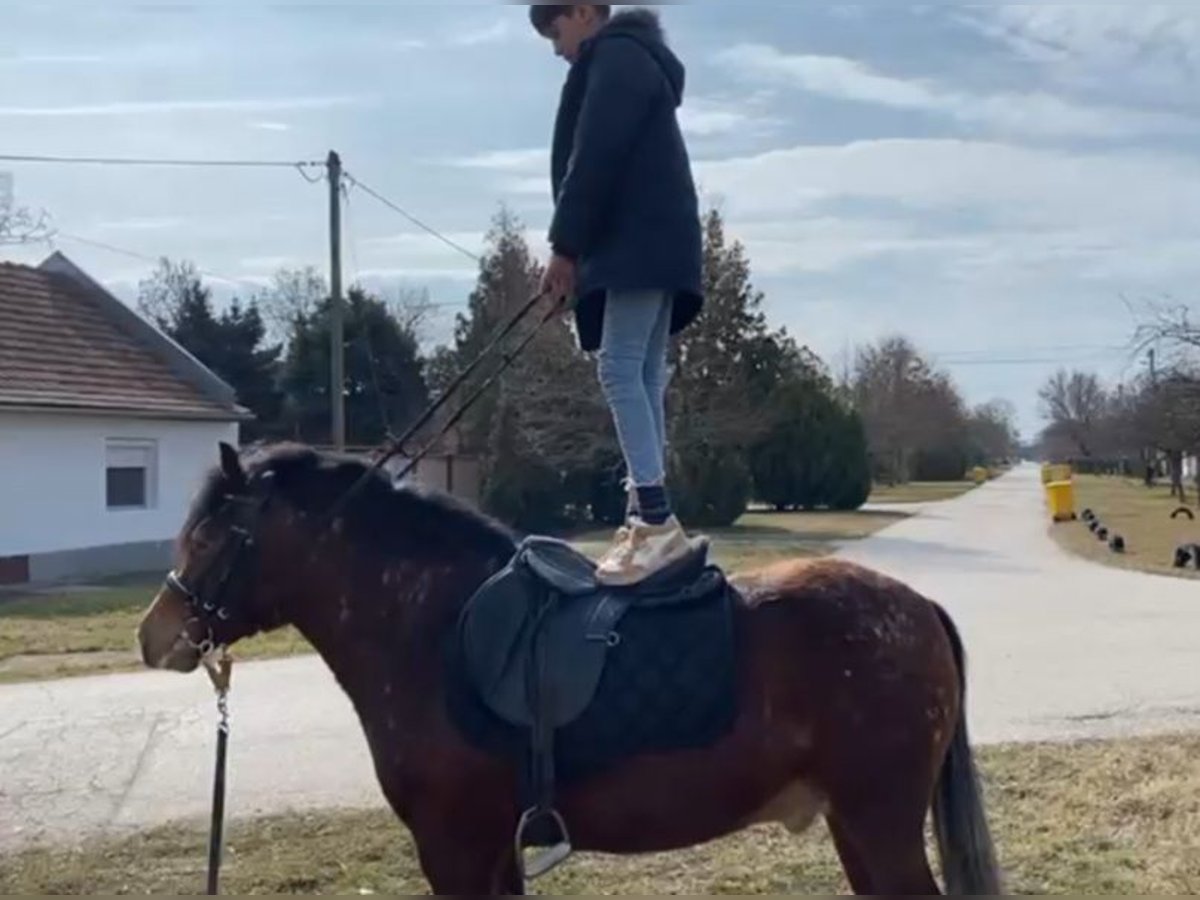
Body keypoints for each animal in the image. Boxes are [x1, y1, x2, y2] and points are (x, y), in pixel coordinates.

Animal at [133, 444, 1003, 897]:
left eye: (210, 536)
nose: (155, 634)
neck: (432, 627)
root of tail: (918, 607)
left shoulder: (452, 847)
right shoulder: (493, 849)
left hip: (878, 824)